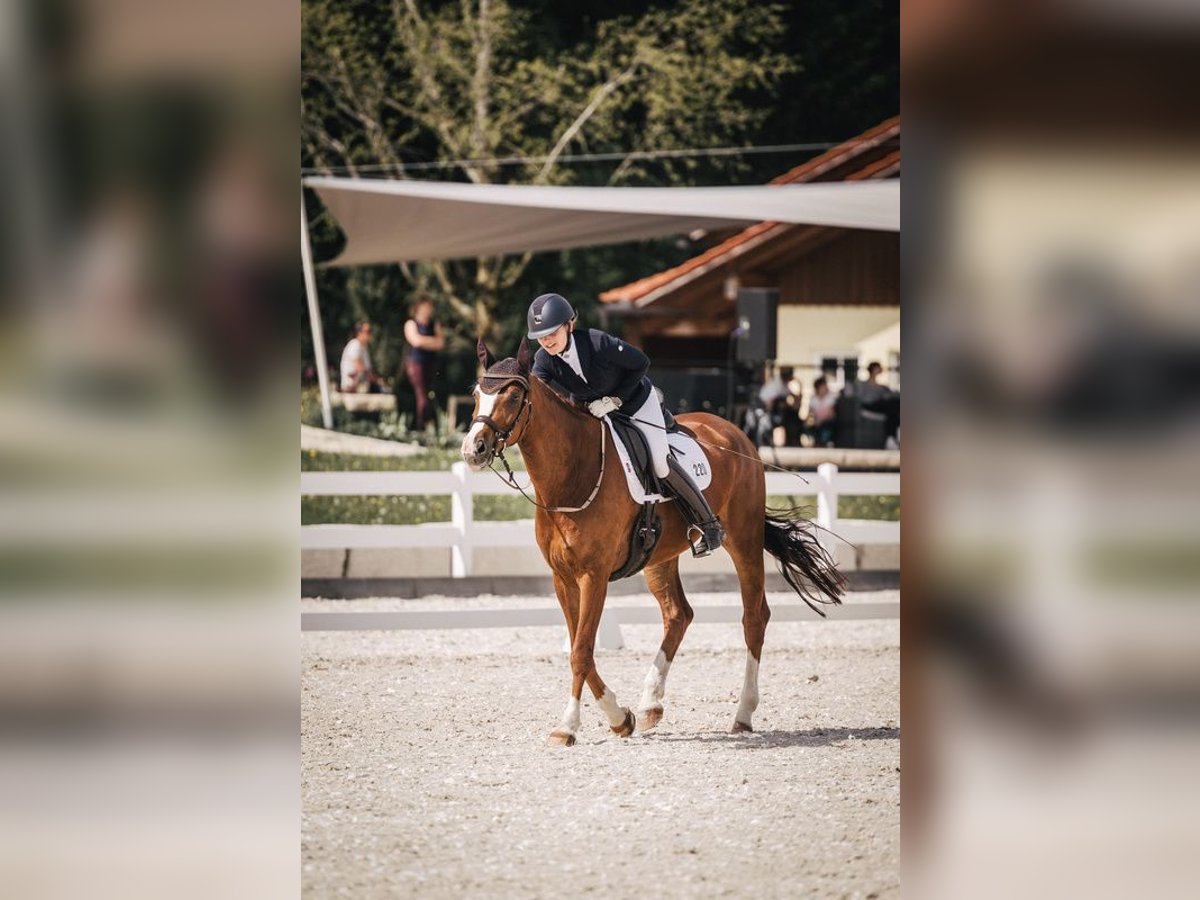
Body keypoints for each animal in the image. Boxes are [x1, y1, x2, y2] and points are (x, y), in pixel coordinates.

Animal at [461, 338, 844, 746]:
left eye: (514, 395)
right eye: (477, 394)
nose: (474, 450)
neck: (572, 474)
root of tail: (735, 432)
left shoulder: (593, 575)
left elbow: (581, 651)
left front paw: (567, 726)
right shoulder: (562, 577)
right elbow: (581, 648)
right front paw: (620, 718)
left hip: (743, 539)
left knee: (754, 617)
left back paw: (742, 713)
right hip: (660, 557)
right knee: (678, 614)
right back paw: (650, 704)